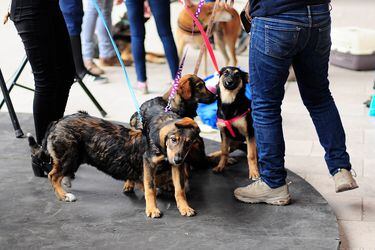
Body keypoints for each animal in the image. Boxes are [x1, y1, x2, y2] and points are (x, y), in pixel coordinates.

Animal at [27, 111, 201, 217]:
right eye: (173, 139)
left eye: (189, 143)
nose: (178, 159)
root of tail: (58, 121)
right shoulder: (148, 164)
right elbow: (150, 188)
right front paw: (152, 209)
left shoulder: (176, 167)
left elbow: (179, 189)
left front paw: (184, 207)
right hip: (69, 157)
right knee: (53, 175)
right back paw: (64, 195)